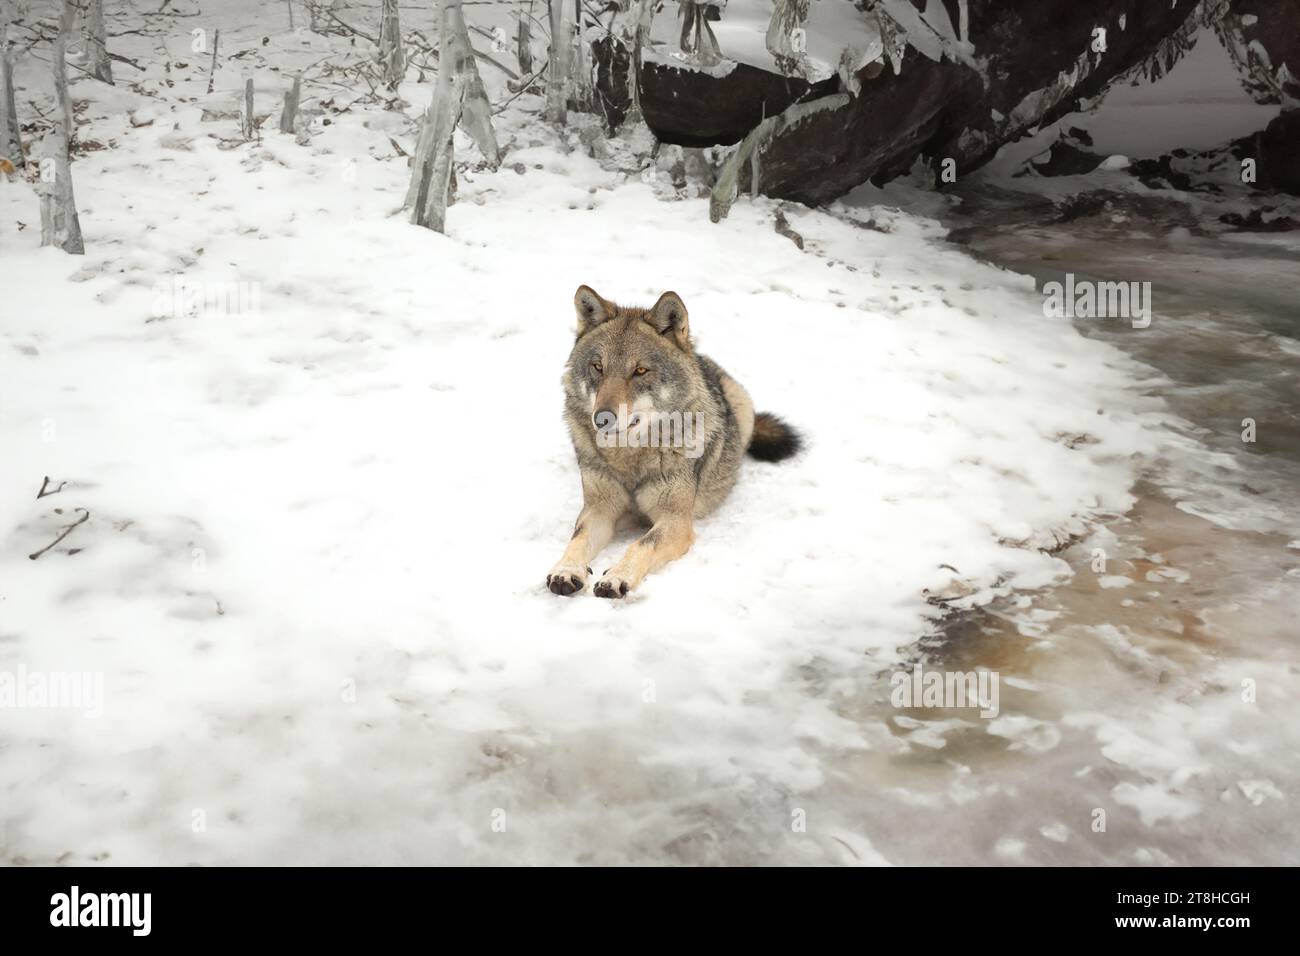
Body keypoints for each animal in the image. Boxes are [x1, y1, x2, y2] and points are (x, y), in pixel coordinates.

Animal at [546, 285, 802, 598]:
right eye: (598, 367)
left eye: (640, 371)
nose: (602, 418)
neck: (630, 458)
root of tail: (702, 359)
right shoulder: (599, 509)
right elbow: (578, 540)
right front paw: (565, 570)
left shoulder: (676, 521)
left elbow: (641, 544)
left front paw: (617, 576)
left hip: (742, 405)